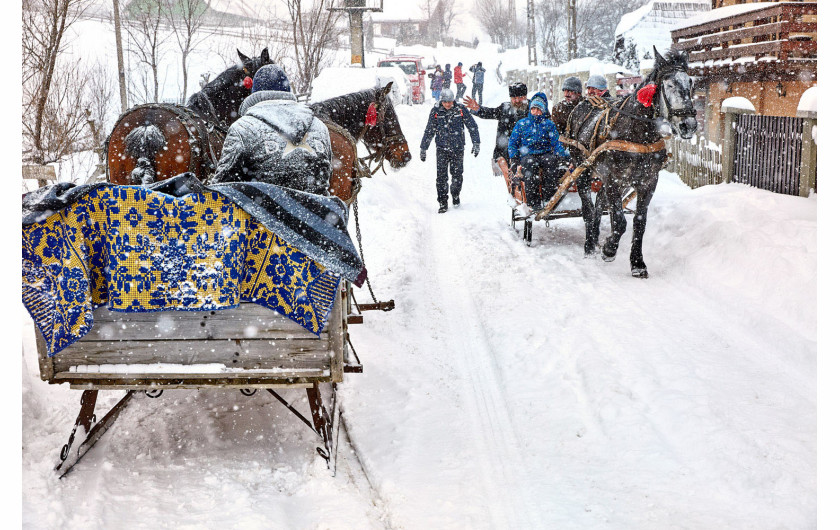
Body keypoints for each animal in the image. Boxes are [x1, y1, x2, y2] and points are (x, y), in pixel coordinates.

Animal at [572, 48, 696, 276]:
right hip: (582, 168)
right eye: (669, 84)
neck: (638, 134)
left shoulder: (648, 182)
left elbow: (639, 222)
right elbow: (620, 222)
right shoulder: (613, 179)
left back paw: (595, 238)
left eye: (690, 83)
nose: (689, 124)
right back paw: (589, 245)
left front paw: (637, 263)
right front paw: (609, 249)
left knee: (600, 203)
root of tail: (585, 101)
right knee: (588, 207)